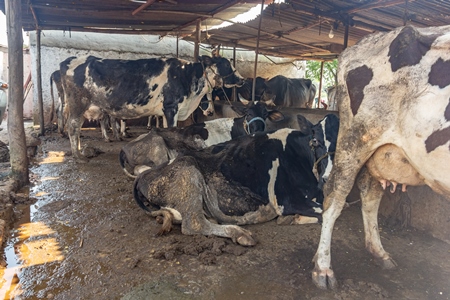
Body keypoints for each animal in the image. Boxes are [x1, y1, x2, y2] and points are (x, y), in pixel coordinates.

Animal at [60, 54, 244, 161]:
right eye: (226, 64)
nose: (242, 79)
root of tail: (70, 59)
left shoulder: (166, 111)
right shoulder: (171, 107)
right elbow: (172, 129)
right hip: (78, 104)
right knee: (73, 127)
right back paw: (77, 155)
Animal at [130, 113, 338, 245]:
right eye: (316, 141)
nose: (329, 179)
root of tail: (143, 175)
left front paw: (291, 219)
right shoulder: (286, 200)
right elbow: (327, 213)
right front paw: (293, 218)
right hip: (188, 172)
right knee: (193, 224)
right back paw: (240, 233)